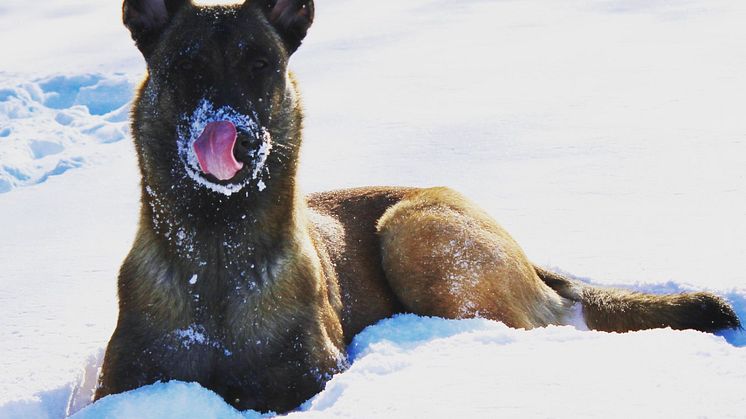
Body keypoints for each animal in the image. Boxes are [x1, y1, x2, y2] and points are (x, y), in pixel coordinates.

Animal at [97, 0, 740, 414]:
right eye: (186, 66)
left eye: (263, 65)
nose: (240, 140)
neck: (216, 255)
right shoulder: (119, 384)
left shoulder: (313, 376)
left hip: (411, 231)